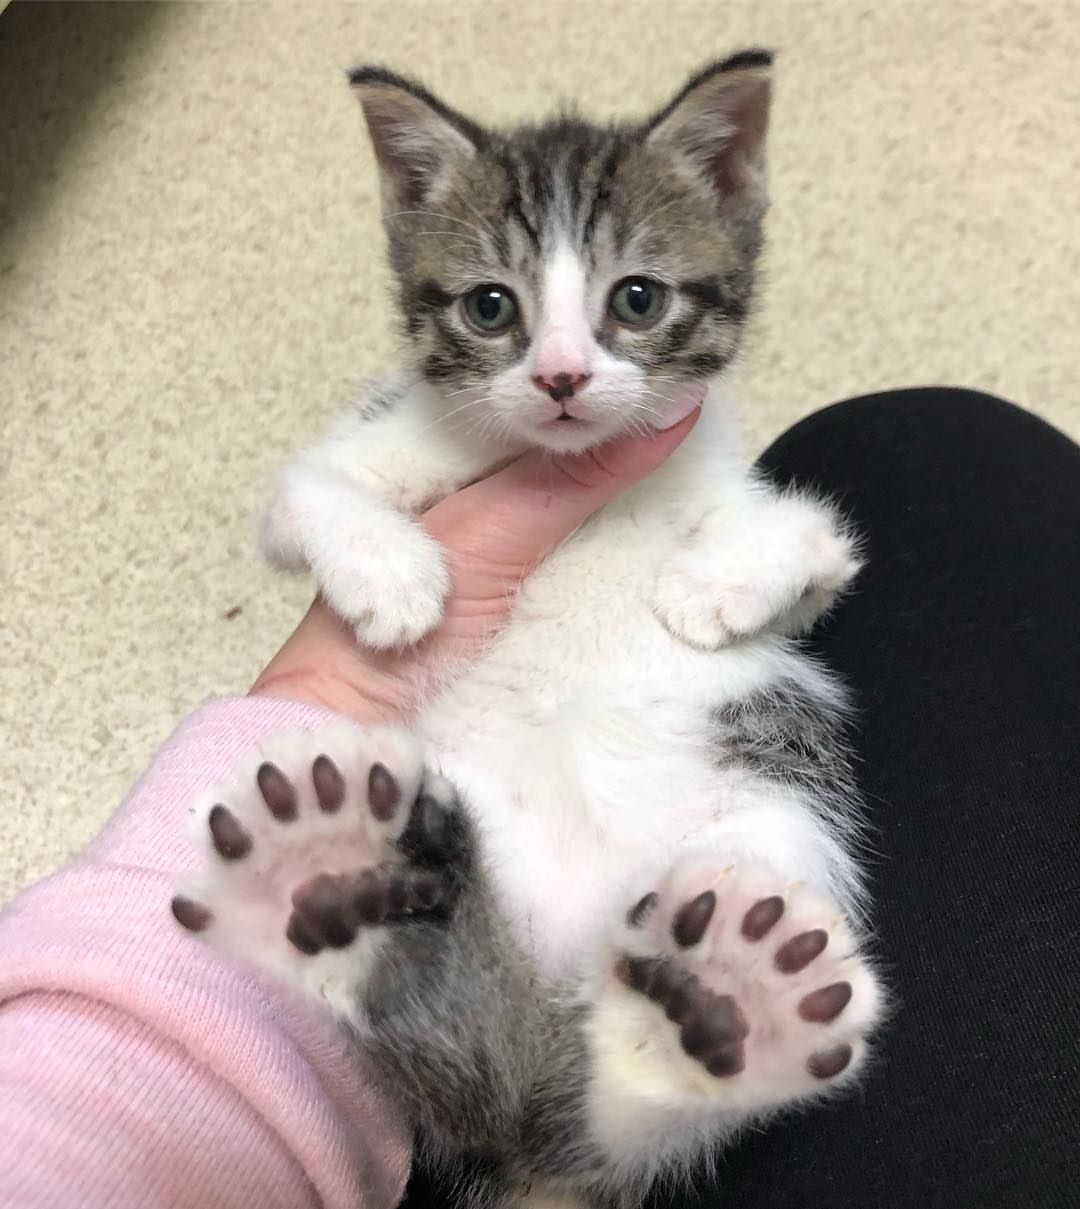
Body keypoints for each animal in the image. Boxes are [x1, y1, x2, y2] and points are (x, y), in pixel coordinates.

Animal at [172, 49, 885, 1209]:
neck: (566, 477)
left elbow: (814, 546)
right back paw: (336, 879)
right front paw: (391, 577)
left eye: (635, 298)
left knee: (612, 1108)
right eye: (490, 306)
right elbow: (304, 497)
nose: (559, 376)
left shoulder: (743, 508)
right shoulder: (371, 444)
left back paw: (721, 999)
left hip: (773, 821)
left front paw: (711, 588)